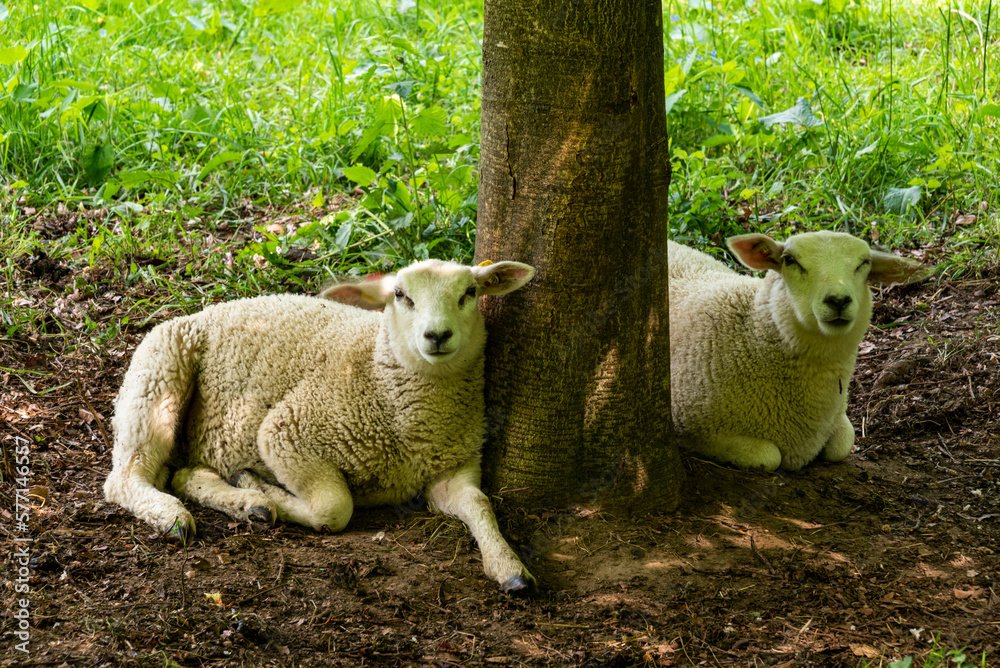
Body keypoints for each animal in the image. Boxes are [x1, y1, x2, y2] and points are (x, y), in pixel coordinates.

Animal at [103, 259, 536, 592]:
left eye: (470, 293)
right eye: (400, 295)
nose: (438, 335)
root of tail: (204, 309)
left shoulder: (452, 468)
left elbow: (478, 502)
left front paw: (510, 568)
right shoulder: (287, 430)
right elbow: (334, 509)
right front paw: (269, 491)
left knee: (183, 474)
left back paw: (241, 502)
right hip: (158, 373)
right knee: (125, 477)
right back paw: (175, 516)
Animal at [668, 231, 922, 471]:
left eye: (864, 263)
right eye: (790, 260)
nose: (838, 300)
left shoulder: (837, 418)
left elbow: (842, 446)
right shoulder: (693, 427)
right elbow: (769, 456)